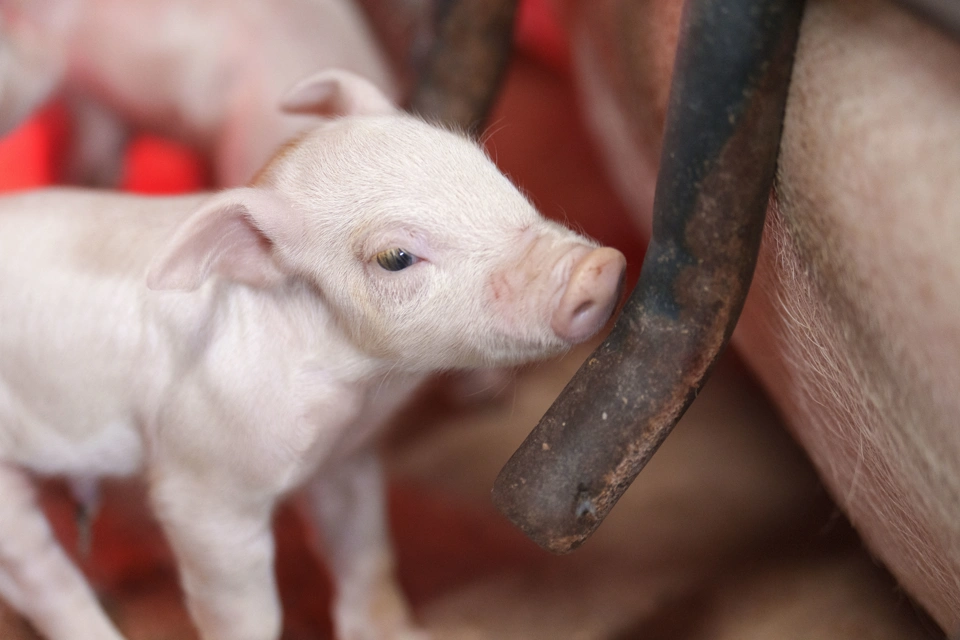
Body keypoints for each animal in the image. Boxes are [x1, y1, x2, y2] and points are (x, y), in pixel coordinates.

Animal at [0, 69, 627, 640]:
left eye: (492, 175)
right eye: (395, 257)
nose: (601, 269)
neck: (351, 386)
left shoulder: (347, 458)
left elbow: (367, 557)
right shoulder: (202, 485)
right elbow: (245, 612)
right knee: (40, 575)